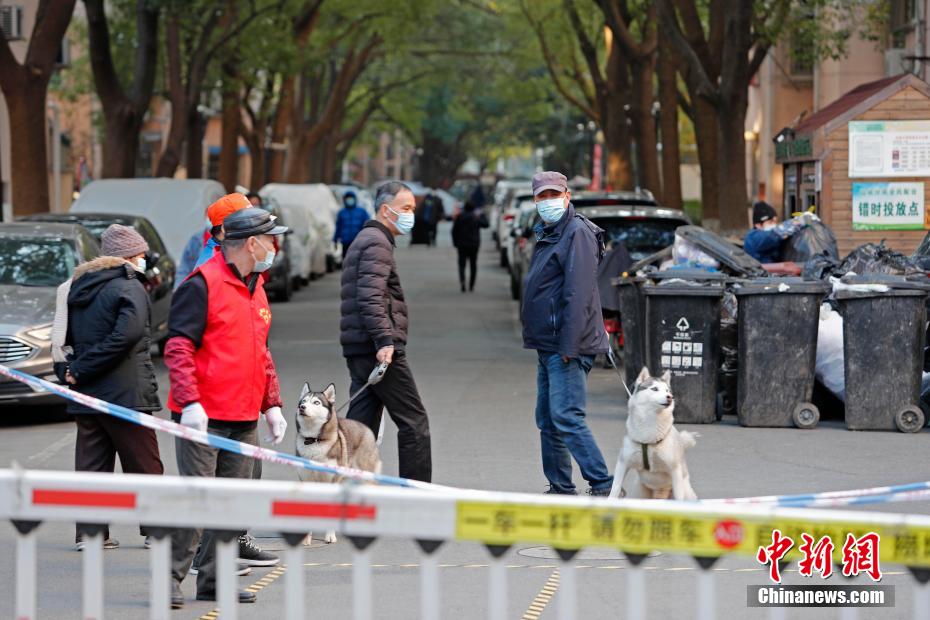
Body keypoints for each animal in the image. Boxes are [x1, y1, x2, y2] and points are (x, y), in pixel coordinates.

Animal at [294, 382, 380, 544]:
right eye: (303, 401)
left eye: (316, 402)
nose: (302, 407)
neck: (314, 441)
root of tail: (367, 428)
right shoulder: (306, 480)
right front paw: (306, 538)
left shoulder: (332, 482)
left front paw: (330, 535)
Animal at [608, 366, 696, 502]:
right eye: (654, 389)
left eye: (667, 390)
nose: (670, 397)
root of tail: (660, 494)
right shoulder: (623, 463)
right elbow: (615, 488)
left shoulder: (675, 469)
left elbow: (678, 497)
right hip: (639, 493)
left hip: (685, 490)